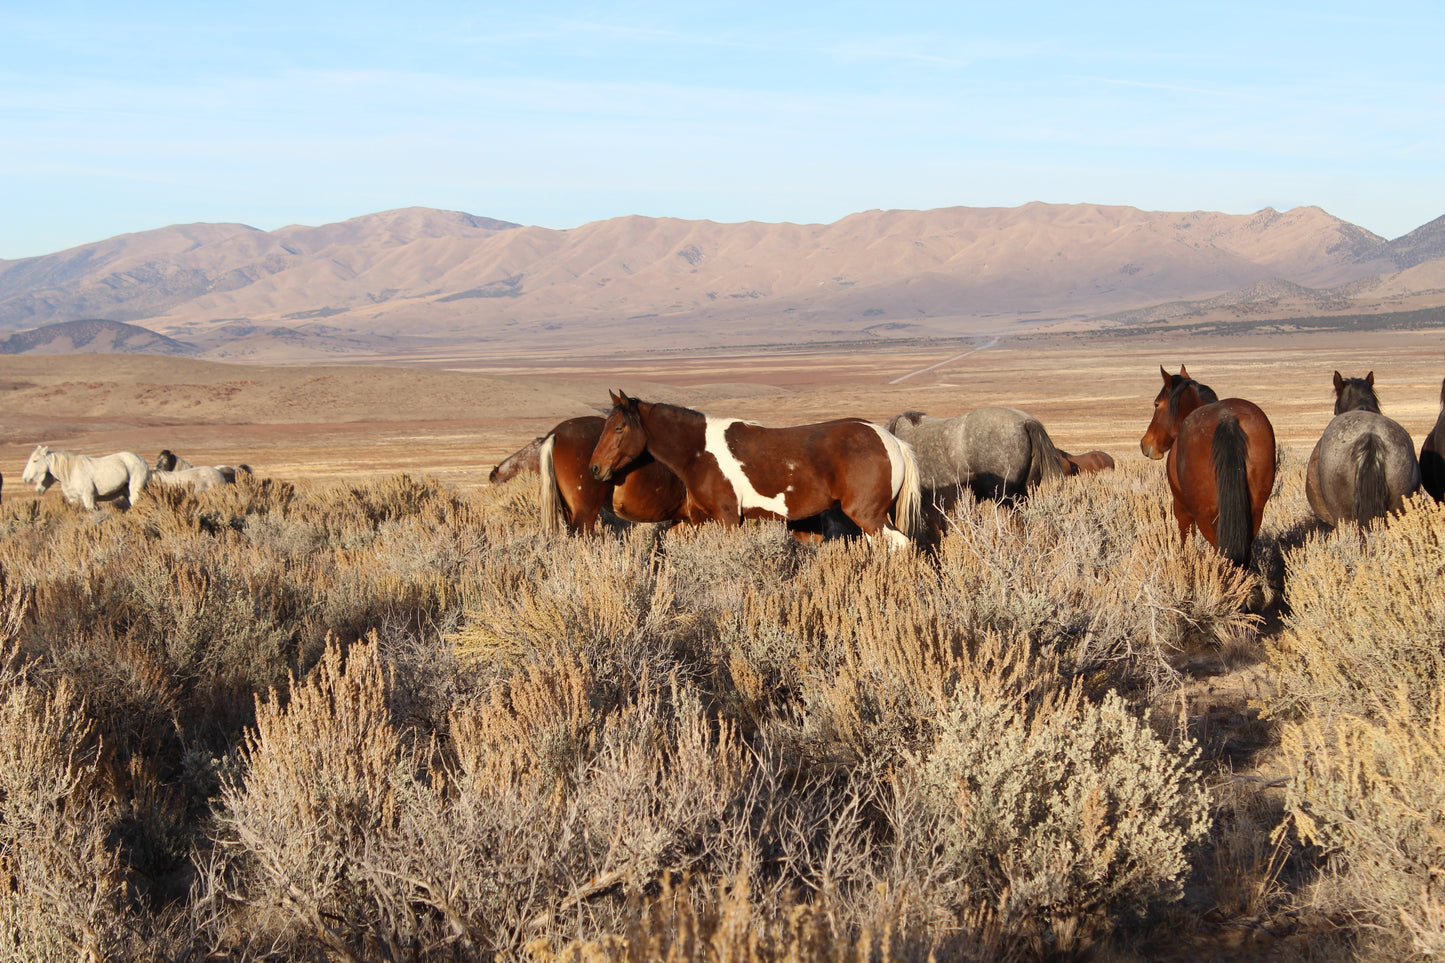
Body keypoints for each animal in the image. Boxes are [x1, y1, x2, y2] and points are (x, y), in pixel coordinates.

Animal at [589, 387, 919, 543]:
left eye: (619, 428)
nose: (594, 468)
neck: (699, 451)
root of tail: (892, 440)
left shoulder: (727, 517)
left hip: (867, 514)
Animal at [1138, 365, 1277, 563]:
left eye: (1156, 404)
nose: (1145, 443)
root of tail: (1227, 419)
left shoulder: (1181, 509)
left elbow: (1185, 541)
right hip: (1255, 512)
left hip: (1205, 516)